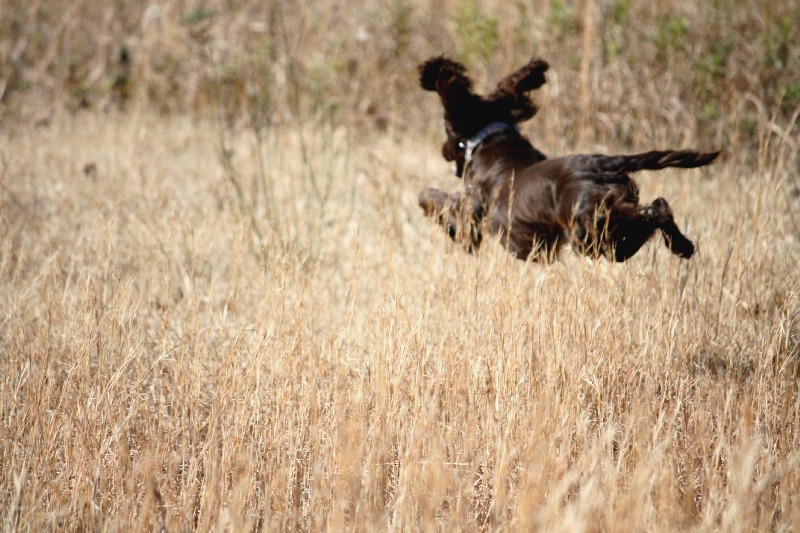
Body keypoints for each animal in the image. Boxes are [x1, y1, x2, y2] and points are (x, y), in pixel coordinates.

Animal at [418, 55, 720, 260]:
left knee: (651, 212)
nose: (443, 150)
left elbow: (431, 197)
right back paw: (683, 245)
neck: (492, 137)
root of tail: (602, 163)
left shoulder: (472, 210)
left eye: (447, 127)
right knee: (658, 205)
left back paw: (678, 244)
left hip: (591, 235)